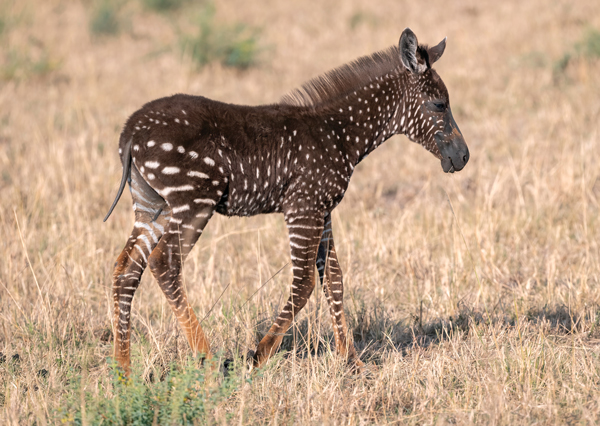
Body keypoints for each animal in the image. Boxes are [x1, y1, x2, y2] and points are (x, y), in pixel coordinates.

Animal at [103, 28, 468, 374]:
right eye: (439, 104)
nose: (463, 157)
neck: (339, 134)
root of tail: (131, 130)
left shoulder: (323, 211)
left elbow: (334, 280)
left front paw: (352, 362)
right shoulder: (303, 208)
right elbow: (305, 283)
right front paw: (258, 356)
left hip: (153, 207)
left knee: (126, 269)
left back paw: (124, 371)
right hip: (193, 202)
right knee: (165, 264)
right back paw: (207, 360)